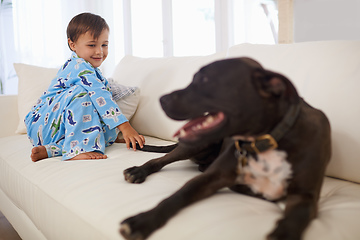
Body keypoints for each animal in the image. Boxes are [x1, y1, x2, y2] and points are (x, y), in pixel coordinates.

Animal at [119, 57, 330, 239]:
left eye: (204, 79)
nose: (162, 99)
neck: (267, 139)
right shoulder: (211, 178)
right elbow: (177, 196)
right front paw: (143, 220)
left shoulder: (305, 196)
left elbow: (296, 218)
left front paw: (282, 233)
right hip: (196, 144)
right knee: (159, 161)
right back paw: (139, 171)